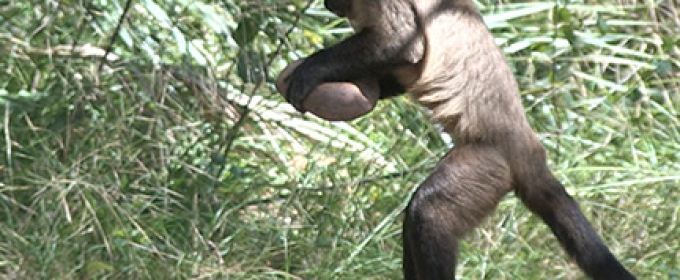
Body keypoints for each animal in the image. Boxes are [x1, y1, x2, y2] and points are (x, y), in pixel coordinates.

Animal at [284, 0, 636, 280]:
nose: (328, 4)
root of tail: (527, 146)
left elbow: (399, 43)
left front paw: (311, 71)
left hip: (492, 163)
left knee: (428, 210)